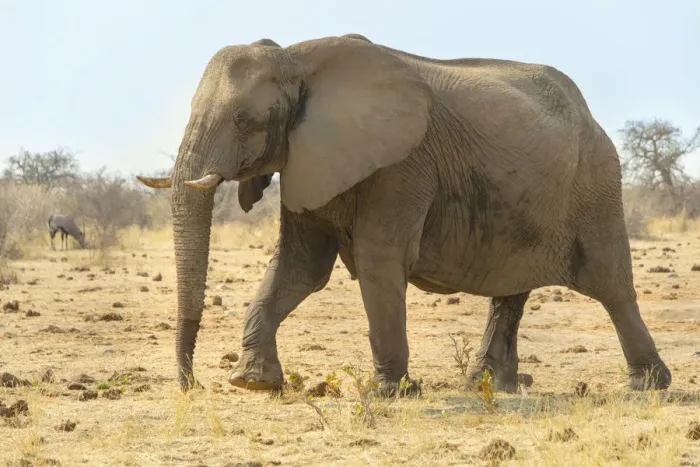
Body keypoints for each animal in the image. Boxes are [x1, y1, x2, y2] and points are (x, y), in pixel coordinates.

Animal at [136, 33, 671, 395]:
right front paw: (254, 383)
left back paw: (648, 386)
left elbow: (379, 261)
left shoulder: (402, 164)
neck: (297, 57)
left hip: (595, 183)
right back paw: (487, 385)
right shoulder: (308, 158)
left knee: (611, 286)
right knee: (510, 290)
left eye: (244, 120)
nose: (191, 387)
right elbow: (299, 269)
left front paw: (390, 392)